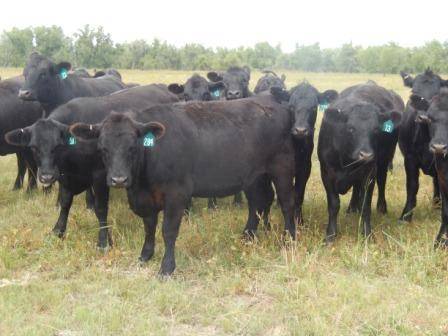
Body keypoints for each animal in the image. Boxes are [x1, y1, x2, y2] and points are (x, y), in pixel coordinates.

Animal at [5, 84, 178, 247]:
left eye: (57, 146)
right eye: (34, 147)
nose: (46, 176)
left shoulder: (100, 175)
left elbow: (100, 209)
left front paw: (104, 240)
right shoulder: (66, 178)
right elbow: (65, 203)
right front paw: (58, 231)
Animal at [71, 95, 298, 276]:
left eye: (132, 147)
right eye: (102, 148)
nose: (118, 179)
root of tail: (276, 105)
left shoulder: (177, 194)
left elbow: (168, 231)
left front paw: (167, 267)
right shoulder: (146, 198)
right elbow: (149, 226)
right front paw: (145, 255)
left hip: (283, 168)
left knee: (287, 203)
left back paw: (289, 240)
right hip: (254, 176)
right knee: (258, 202)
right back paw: (247, 236)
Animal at [270, 81, 336, 224]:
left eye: (314, 107)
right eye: (291, 106)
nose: (300, 130)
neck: (297, 147)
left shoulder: (305, 167)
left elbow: (298, 194)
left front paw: (299, 220)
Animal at [318, 83, 402, 242]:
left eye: (376, 129)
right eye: (351, 128)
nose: (366, 155)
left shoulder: (369, 174)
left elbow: (365, 206)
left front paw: (367, 234)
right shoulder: (326, 172)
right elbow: (334, 205)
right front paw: (330, 235)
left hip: (384, 160)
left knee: (382, 181)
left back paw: (381, 207)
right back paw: (352, 208)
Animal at [400, 68, 448, 220]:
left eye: (436, 93)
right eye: (413, 92)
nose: (423, 117)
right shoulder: (410, 158)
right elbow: (412, 185)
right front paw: (406, 215)